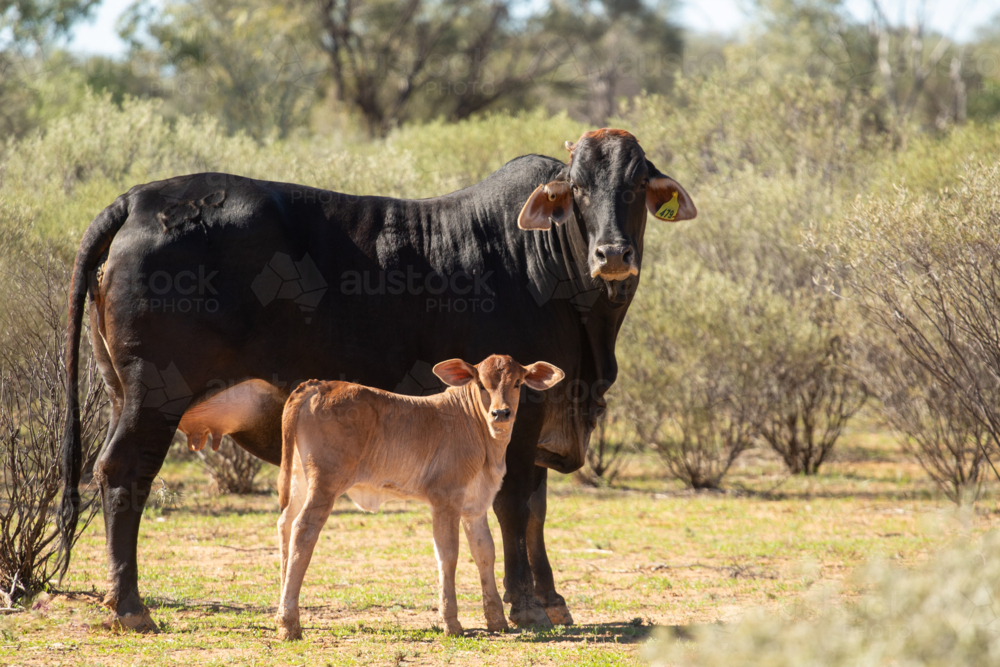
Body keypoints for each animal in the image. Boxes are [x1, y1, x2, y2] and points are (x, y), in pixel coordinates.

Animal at [275, 355, 565, 639]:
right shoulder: (445, 499)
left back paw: (281, 612)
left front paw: (497, 621)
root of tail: (318, 384)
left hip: (300, 479)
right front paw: (451, 623)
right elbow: (448, 554)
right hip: (325, 482)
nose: (501, 413)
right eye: (481, 384)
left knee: (285, 523)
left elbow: (485, 552)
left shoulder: (476, 505)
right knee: (304, 529)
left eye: (517, 383)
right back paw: (290, 623)